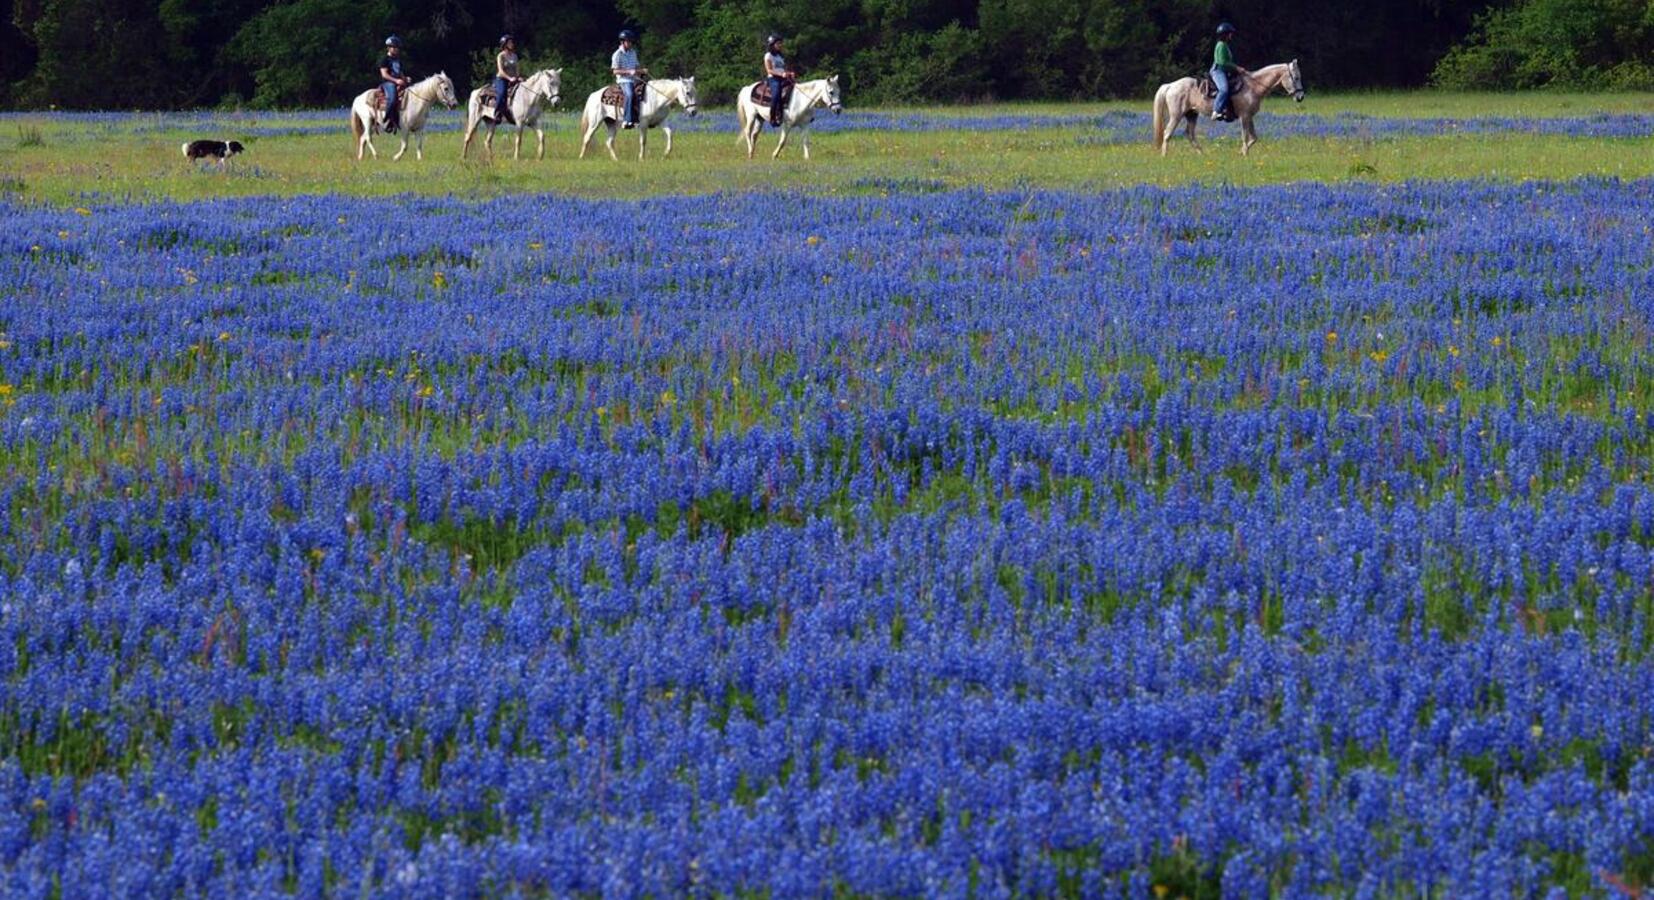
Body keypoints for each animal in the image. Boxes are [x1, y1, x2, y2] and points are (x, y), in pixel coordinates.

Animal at [1151, 58, 1303, 155]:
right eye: (1296, 78)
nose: (1300, 97)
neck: (1253, 87)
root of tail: (1171, 85)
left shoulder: (1249, 117)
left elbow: (1254, 138)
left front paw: (1241, 152)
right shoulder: (1244, 116)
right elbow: (1245, 136)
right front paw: (1245, 154)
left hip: (1191, 115)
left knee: (1189, 134)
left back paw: (1202, 154)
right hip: (1176, 115)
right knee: (1167, 133)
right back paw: (1165, 156)